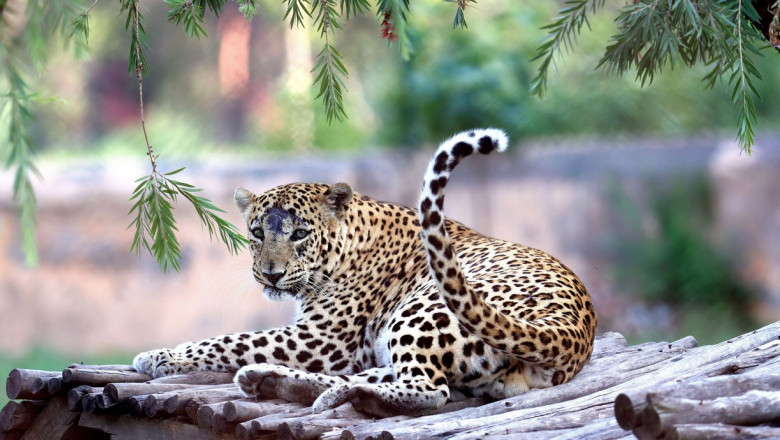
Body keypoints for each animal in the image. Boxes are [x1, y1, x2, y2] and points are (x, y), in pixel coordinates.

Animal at [133, 128, 597, 417]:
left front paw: (161, 355)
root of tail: (572, 333)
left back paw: (343, 393)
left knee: (427, 389)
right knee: (395, 376)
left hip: (422, 310)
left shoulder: (321, 338)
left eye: (299, 233)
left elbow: (232, 340)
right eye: (257, 232)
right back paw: (270, 380)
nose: (271, 275)